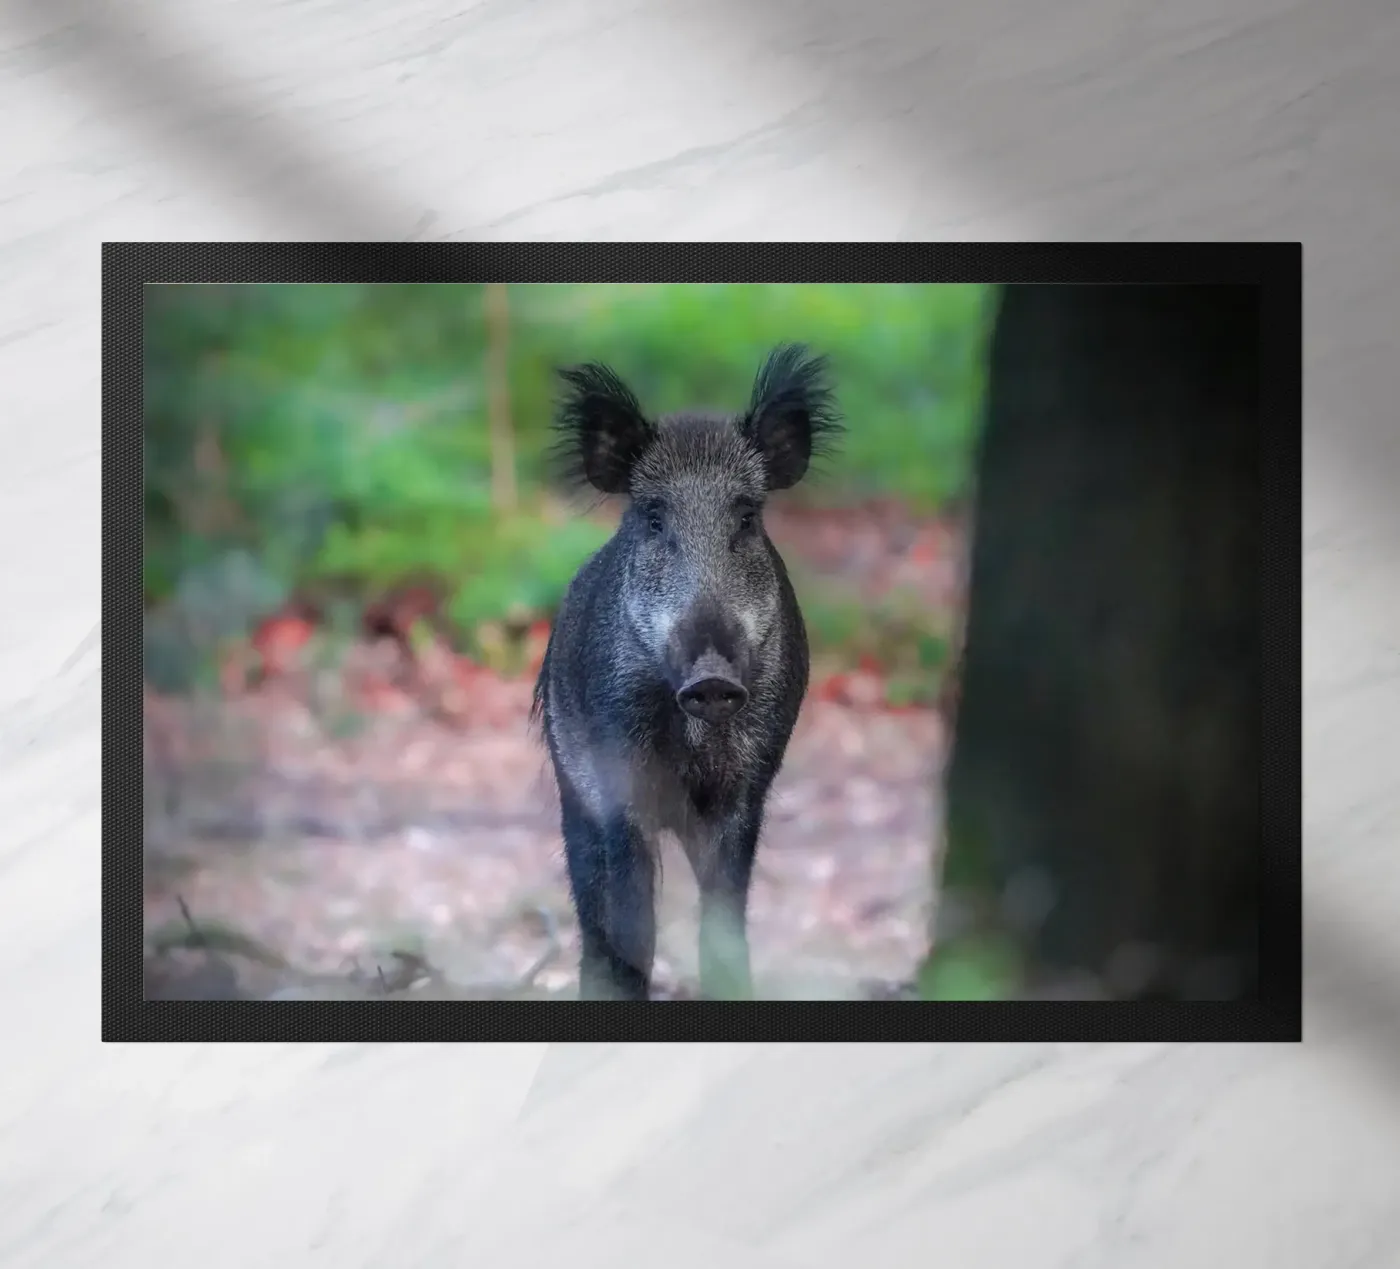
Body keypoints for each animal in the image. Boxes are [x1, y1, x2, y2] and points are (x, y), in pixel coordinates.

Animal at [532, 344, 842, 1000]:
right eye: (654, 519)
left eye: (746, 518)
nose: (712, 679)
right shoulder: (615, 771)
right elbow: (631, 926)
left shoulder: (750, 782)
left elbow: (723, 925)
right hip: (572, 784)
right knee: (593, 920)